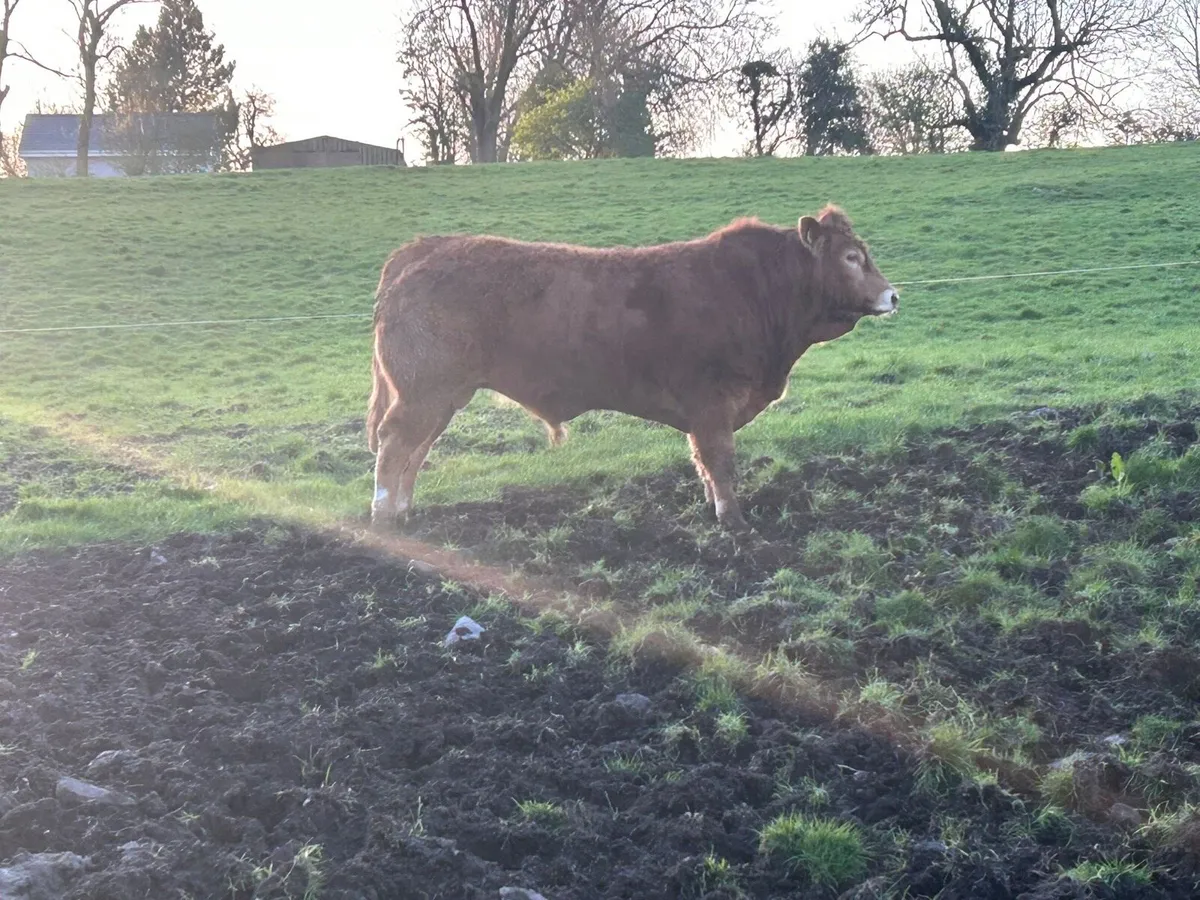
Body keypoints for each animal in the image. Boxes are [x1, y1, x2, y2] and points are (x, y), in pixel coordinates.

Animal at [366, 205, 898, 532]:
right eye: (852, 257)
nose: (893, 295)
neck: (755, 291)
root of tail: (423, 248)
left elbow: (704, 463)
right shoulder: (712, 405)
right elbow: (720, 461)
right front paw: (733, 520)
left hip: (442, 397)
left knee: (416, 451)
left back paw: (405, 510)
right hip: (423, 391)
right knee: (395, 446)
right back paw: (384, 515)